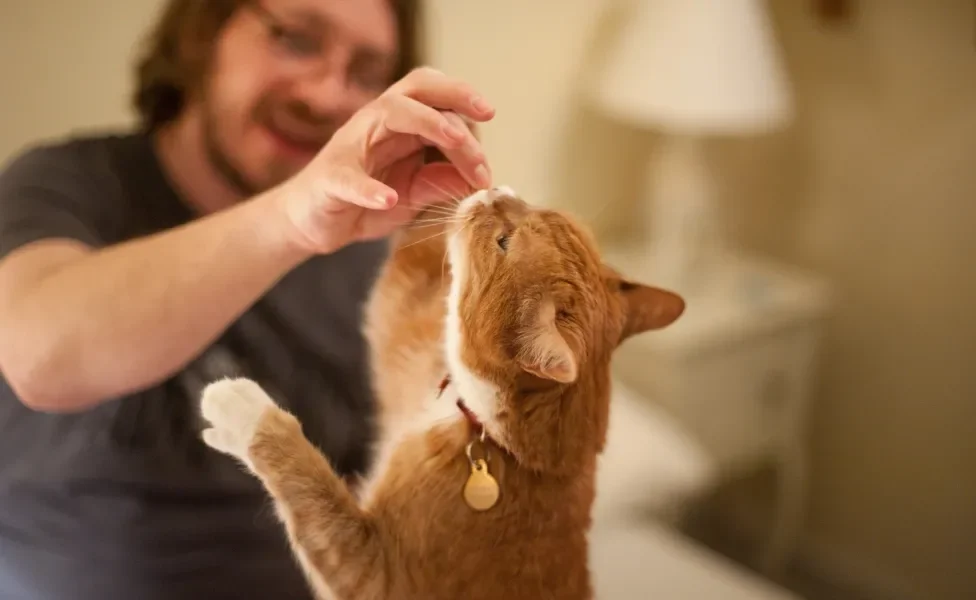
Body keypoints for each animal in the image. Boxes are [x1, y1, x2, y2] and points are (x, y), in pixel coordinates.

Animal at [199, 185, 688, 596]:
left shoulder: (374, 571)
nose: (497, 190)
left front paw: (240, 410)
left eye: (504, 242)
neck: (498, 442)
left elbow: (307, 483)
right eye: (540, 209)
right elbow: (404, 282)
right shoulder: (409, 352)